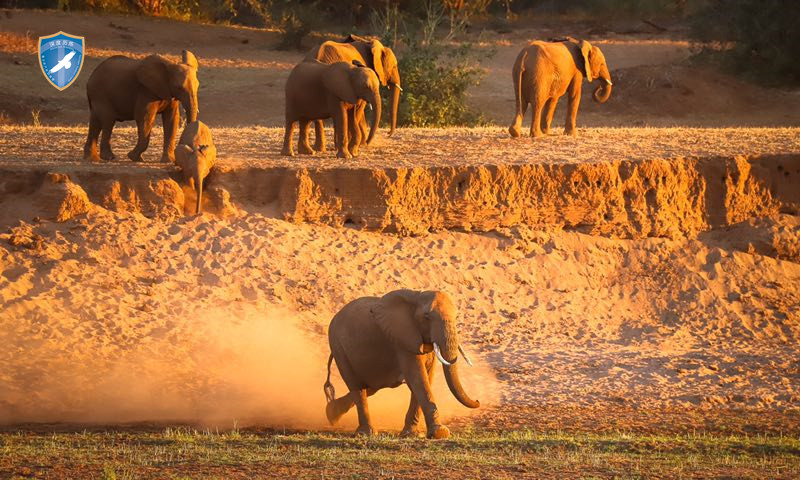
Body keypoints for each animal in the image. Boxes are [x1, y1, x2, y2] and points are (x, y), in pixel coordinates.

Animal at [322, 288, 478, 438]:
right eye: (427, 316)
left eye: (456, 317)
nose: (477, 401)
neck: (417, 296)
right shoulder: (402, 339)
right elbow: (418, 378)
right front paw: (440, 433)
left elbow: (427, 376)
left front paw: (412, 434)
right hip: (338, 347)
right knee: (356, 386)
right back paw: (365, 433)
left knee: (370, 387)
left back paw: (332, 414)